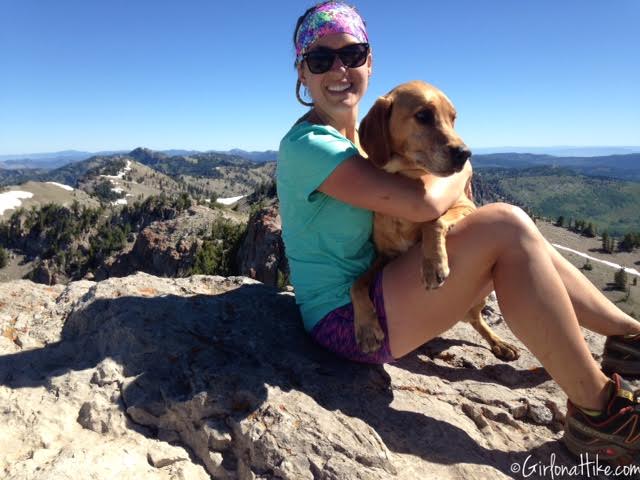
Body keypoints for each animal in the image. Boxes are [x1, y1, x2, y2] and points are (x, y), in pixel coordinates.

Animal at [350, 80, 520, 362]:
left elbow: (434, 222)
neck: (406, 180)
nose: (465, 153)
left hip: (480, 297)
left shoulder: (466, 205)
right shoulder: (385, 257)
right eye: (423, 116)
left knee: (475, 318)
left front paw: (433, 265)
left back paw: (499, 342)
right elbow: (357, 284)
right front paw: (366, 329)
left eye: (453, 118)